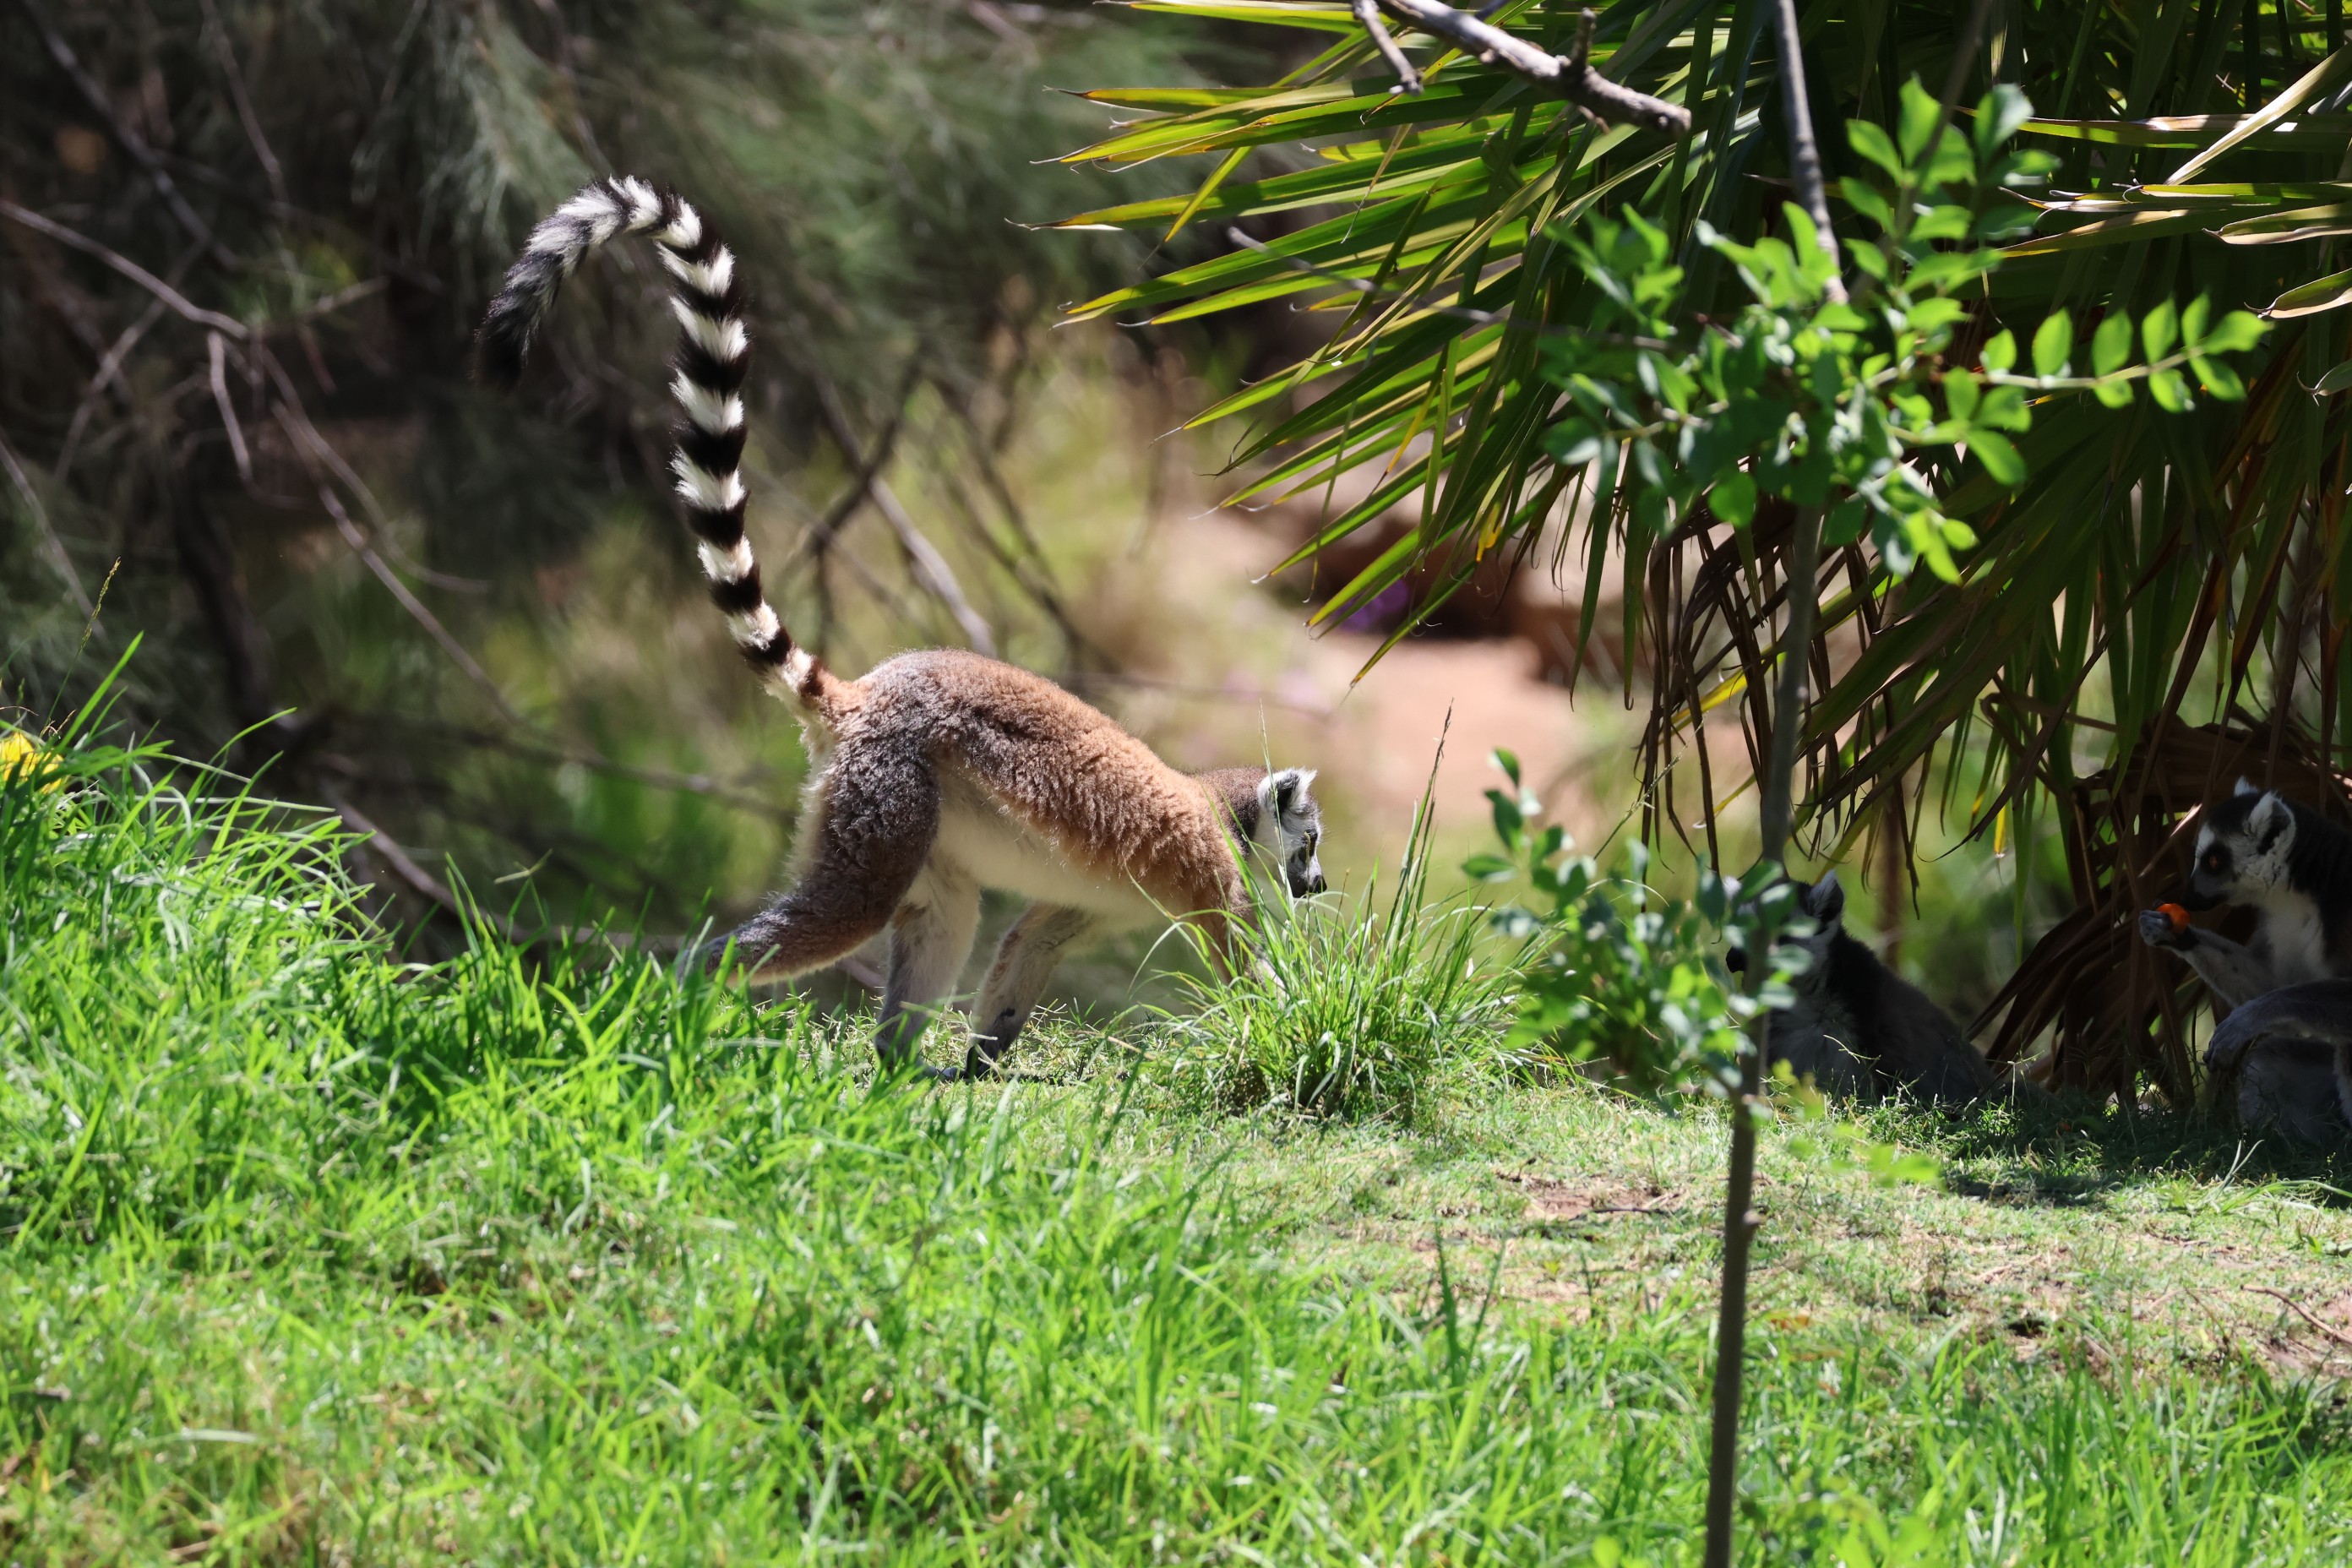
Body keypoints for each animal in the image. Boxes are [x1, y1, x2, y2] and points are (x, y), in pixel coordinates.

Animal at [478, 177, 1325, 1078]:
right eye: (1307, 843)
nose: (1316, 887)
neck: (1223, 814)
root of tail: (863, 699)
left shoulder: (1099, 908)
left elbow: (1030, 943)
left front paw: (985, 1063)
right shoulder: (1208, 876)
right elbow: (1242, 965)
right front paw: (1293, 1034)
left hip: (906, 813)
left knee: (945, 911)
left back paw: (896, 1067)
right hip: (887, 793)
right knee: (850, 909)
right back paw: (676, 1004)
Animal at [2136, 781, 2352, 1009]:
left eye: (2213, 861)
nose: (2187, 898)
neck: (2292, 896)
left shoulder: (2342, 914)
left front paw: (2254, 1011)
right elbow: (2269, 986)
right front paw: (2171, 931)